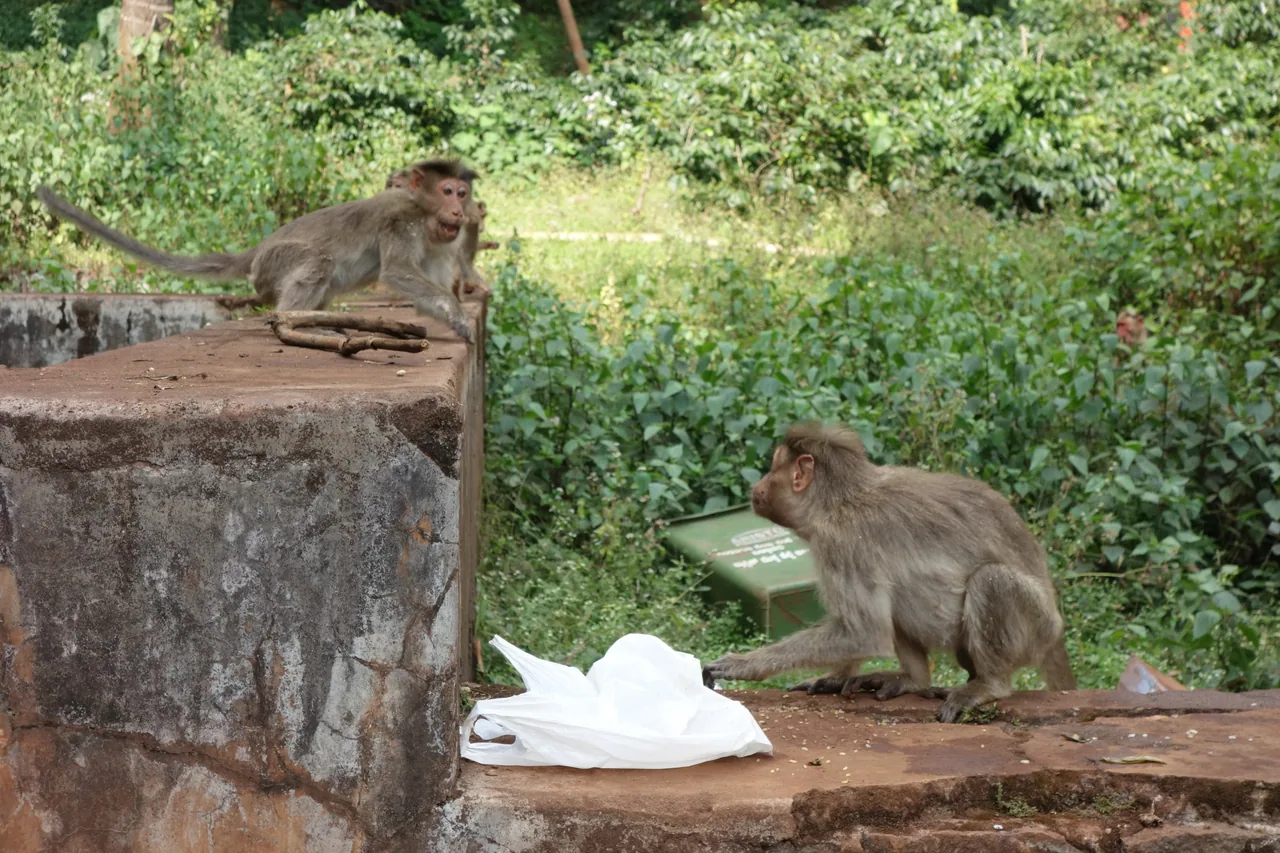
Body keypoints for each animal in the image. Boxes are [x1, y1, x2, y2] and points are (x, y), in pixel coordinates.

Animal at [36, 160, 476, 343]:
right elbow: (398, 271)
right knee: (317, 262)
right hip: (274, 263)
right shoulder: (401, 222)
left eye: (462, 192)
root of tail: (257, 250)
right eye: (446, 190)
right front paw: (458, 315)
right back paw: (296, 324)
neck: (424, 212)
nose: (460, 209)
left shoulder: (443, 241)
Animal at [701, 422, 1077, 724]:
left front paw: (745, 664)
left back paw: (989, 685)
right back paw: (915, 680)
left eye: (772, 467)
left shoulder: (841, 540)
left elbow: (864, 631)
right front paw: (837, 675)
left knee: (991, 581)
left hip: (1036, 627)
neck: (838, 500)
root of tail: (1057, 633)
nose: (759, 485)